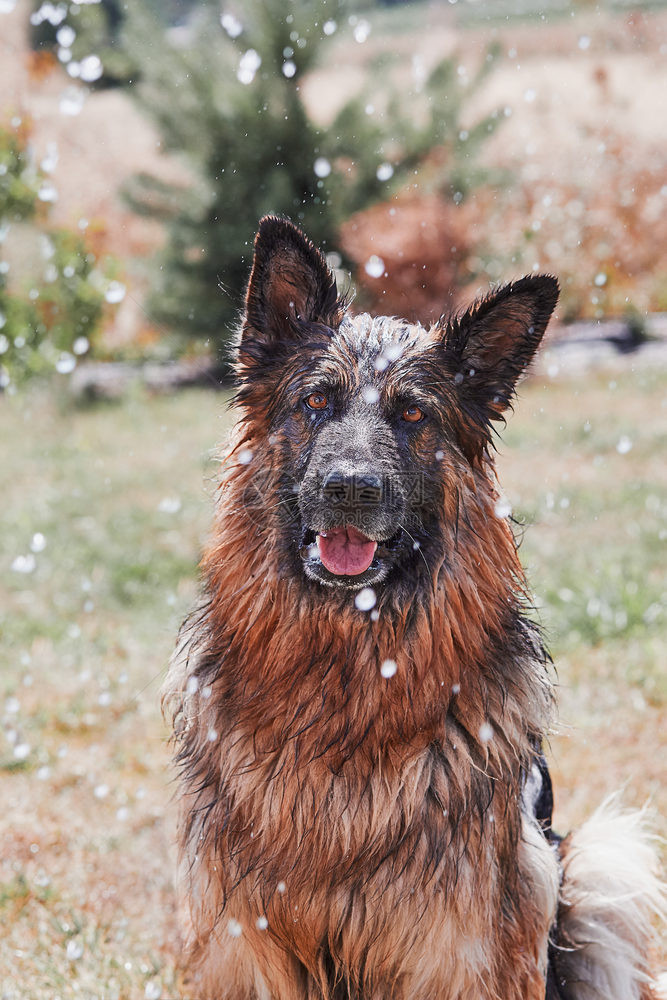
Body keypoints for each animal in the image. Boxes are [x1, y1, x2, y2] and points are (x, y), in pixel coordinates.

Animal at [163, 219, 667, 1000]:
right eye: (316, 403)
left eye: (411, 414)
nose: (350, 488)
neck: (344, 684)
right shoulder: (242, 938)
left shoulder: (458, 946)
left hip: (592, 876)